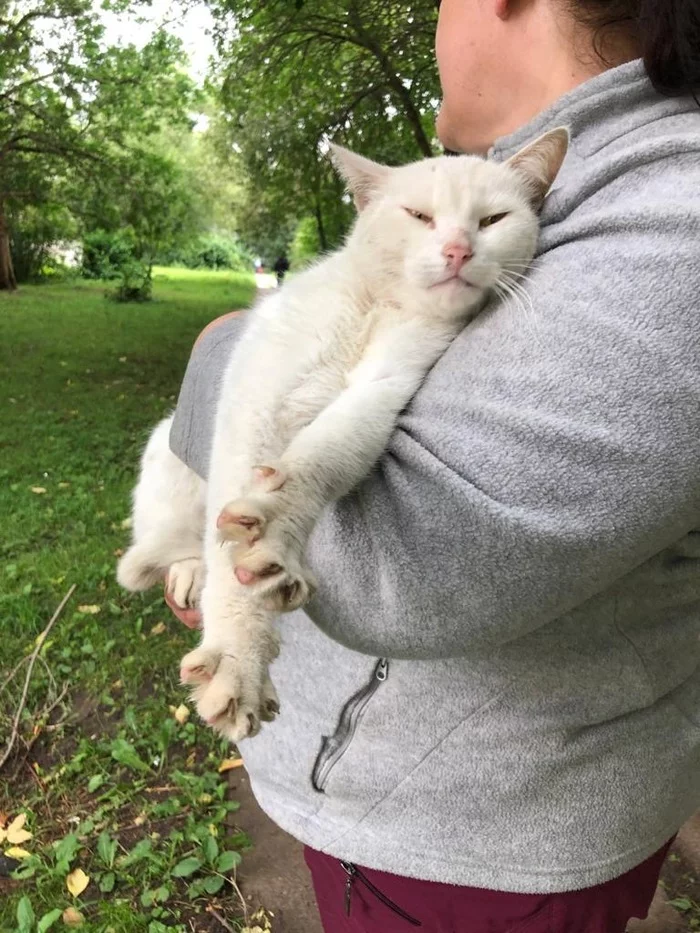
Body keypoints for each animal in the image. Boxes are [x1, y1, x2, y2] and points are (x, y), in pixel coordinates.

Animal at [117, 131, 572, 744]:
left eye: (493, 219)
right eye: (419, 215)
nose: (458, 250)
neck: (379, 306)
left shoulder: (382, 389)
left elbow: (319, 459)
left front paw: (278, 529)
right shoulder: (257, 398)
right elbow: (231, 556)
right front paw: (238, 658)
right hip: (165, 462)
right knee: (176, 541)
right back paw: (188, 569)